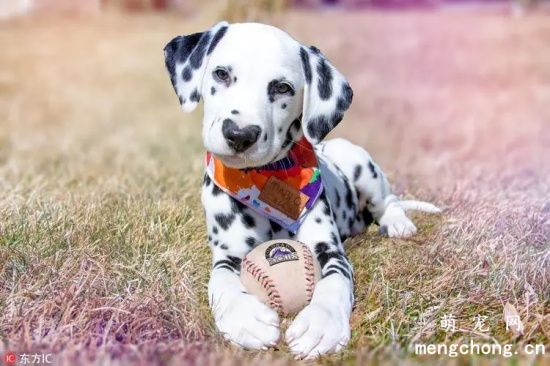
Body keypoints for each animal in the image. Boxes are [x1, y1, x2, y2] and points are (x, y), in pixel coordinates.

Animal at [162, 21, 442, 358]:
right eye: (221, 74)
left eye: (282, 88)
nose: (240, 134)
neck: (265, 181)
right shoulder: (227, 253)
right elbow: (222, 282)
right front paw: (245, 319)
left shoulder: (329, 250)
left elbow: (335, 282)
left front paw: (321, 325)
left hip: (361, 164)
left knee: (388, 201)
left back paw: (397, 222)